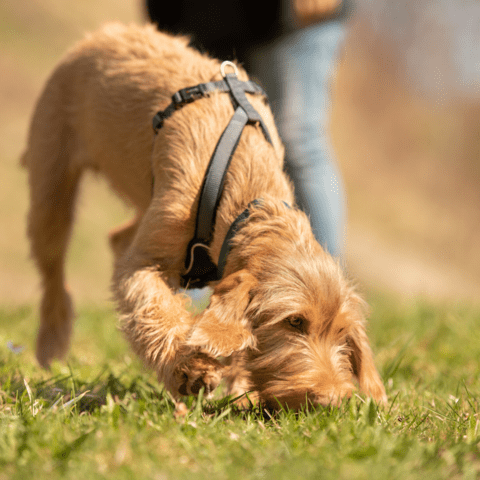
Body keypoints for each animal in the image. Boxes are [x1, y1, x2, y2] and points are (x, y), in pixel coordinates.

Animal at [22, 22, 386, 408]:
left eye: (341, 331)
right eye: (295, 322)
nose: (330, 400)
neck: (250, 198)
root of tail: (105, 31)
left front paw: (237, 390)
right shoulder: (142, 263)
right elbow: (155, 309)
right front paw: (187, 369)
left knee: (118, 237)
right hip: (51, 184)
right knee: (54, 268)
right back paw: (51, 341)